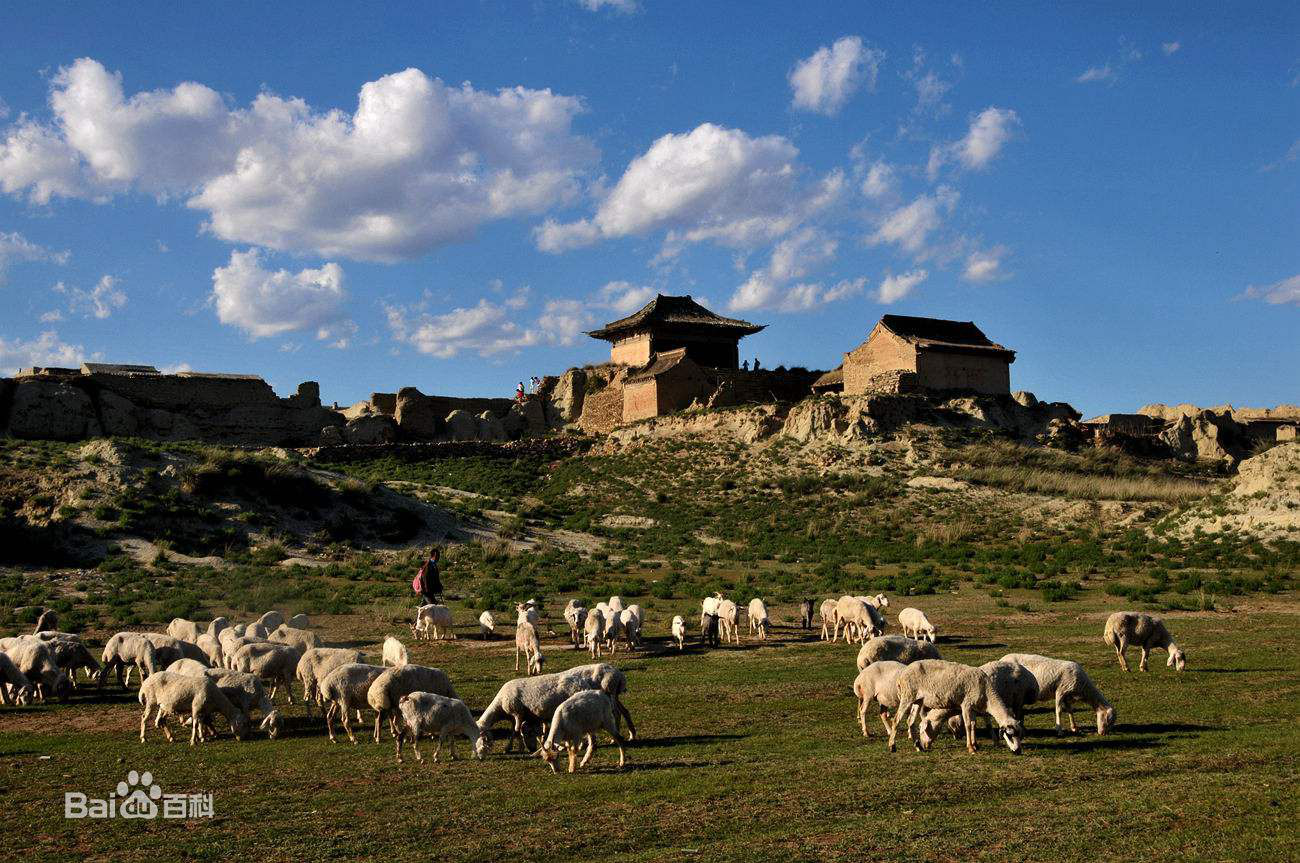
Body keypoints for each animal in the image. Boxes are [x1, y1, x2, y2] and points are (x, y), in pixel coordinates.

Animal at [883, 660, 1024, 753]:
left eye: (1019, 734)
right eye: (1009, 735)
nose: (1018, 751)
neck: (987, 693)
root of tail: (902, 674)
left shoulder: (972, 707)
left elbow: (973, 724)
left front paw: (975, 744)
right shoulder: (966, 704)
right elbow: (968, 725)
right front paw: (971, 748)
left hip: (917, 700)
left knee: (910, 721)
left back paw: (918, 746)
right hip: (907, 695)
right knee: (897, 720)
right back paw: (892, 746)